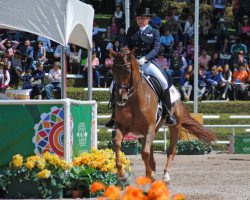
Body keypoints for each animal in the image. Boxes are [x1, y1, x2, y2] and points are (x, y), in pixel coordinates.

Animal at [110, 48, 216, 183]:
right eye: (113, 70)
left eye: (128, 70)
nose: (120, 98)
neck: (133, 100)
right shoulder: (122, 127)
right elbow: (117, 145)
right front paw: (123, 175)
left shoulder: (149, 127)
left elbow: (144, 153)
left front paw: (150, 175)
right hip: (149, 132)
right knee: (150, 153)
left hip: (175, 126)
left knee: (171, 151)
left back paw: (165, 176)